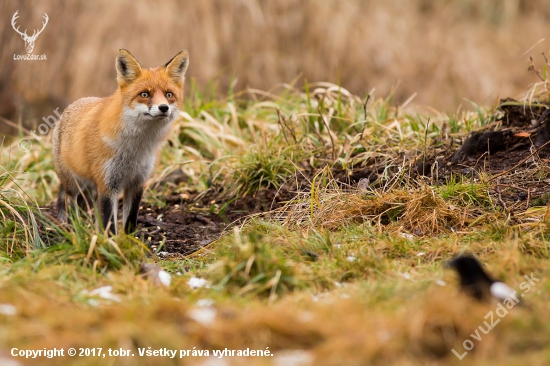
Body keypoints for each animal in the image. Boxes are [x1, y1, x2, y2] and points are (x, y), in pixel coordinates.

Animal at [52, 48, 190, 233]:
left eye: (169, 94)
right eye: (144, 94)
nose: (163, 108)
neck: (136, 147)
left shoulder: (137, 182)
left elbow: (130, 220)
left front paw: (129, 240)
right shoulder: (108, 184)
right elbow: (109, 224)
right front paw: (111, 242)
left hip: (93, 188)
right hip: (73, 183)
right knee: (69, 201)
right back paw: (75, 229)